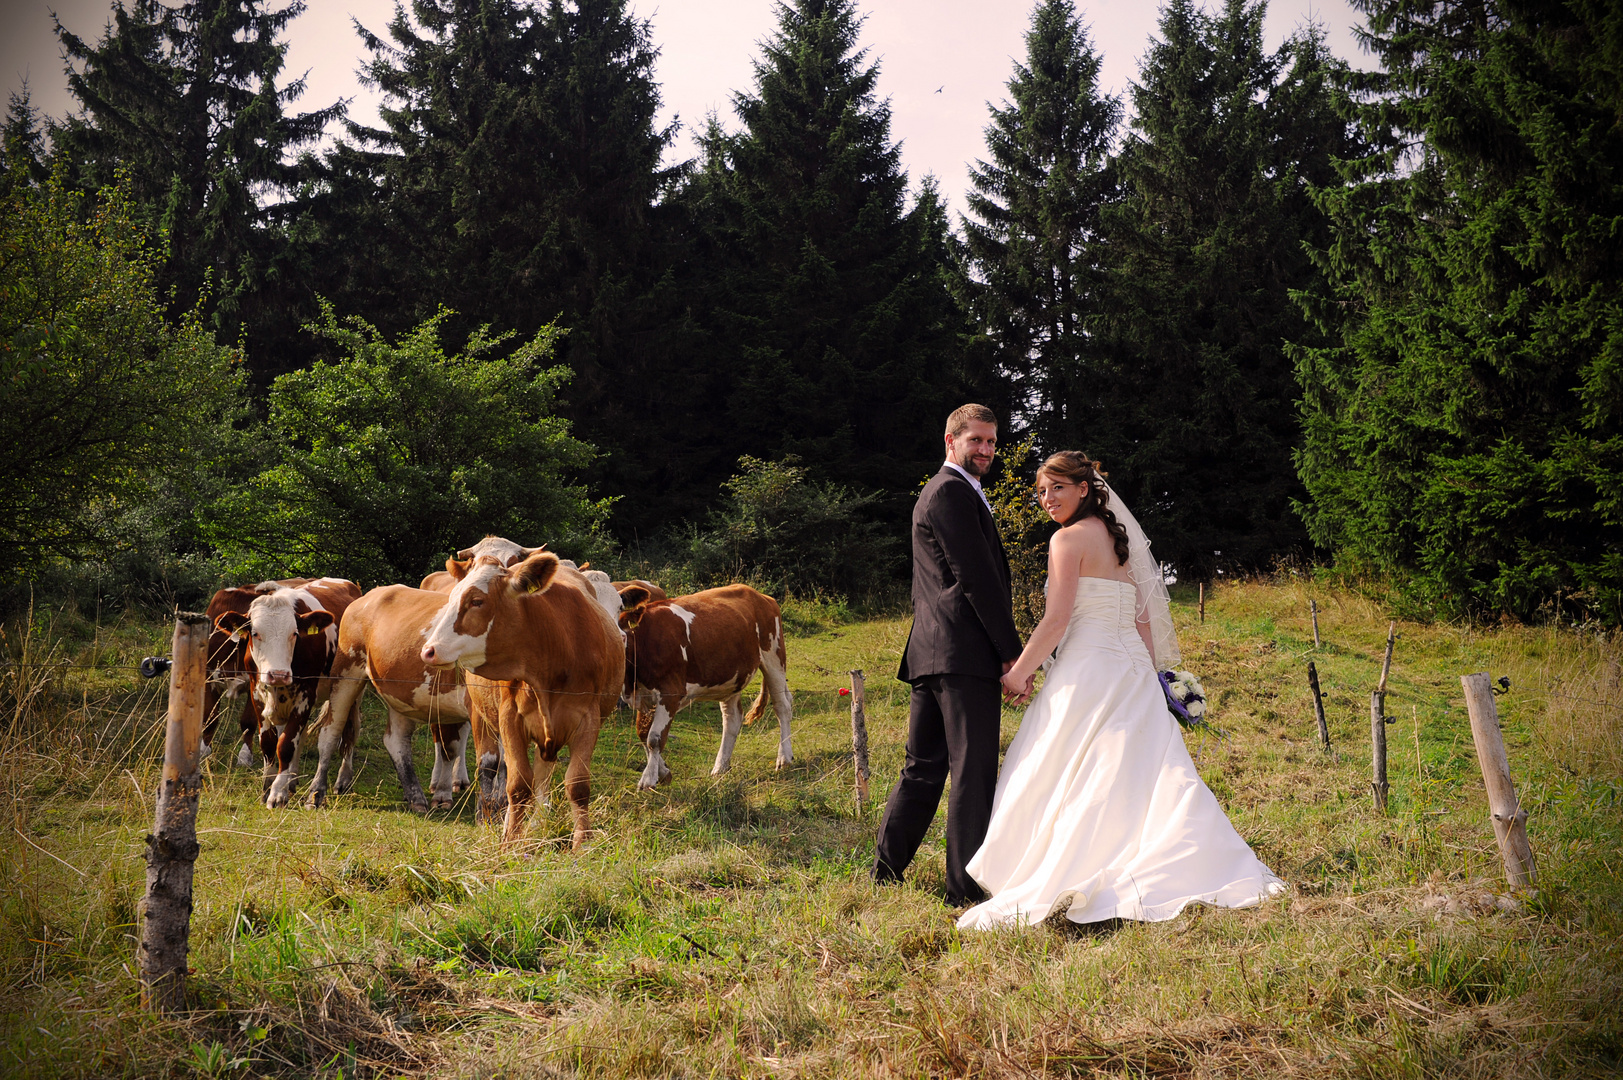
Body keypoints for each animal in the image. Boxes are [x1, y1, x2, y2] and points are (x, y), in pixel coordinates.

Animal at [212, 578, 361, 805]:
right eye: (255, 633)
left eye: (295, 633)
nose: (278, 674)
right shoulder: (257, 695)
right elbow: (269, 742)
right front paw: (268, 787)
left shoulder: (305, 696)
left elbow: (286, 744)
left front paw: (277, 793)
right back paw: (292, 779)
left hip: (352, 689)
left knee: (350, 730)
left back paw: (343, 779)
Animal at [613, 584, 792, 789]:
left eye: (617, 609)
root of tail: (760, 595)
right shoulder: (643, 696)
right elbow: (643, 735)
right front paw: (663, 772)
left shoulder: (670, 693)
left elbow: (655, 738)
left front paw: (648, 779)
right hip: (731, 676)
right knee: (732, 719)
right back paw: (720, 767)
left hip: (774, 657)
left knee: (782, 706)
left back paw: (784, 758)